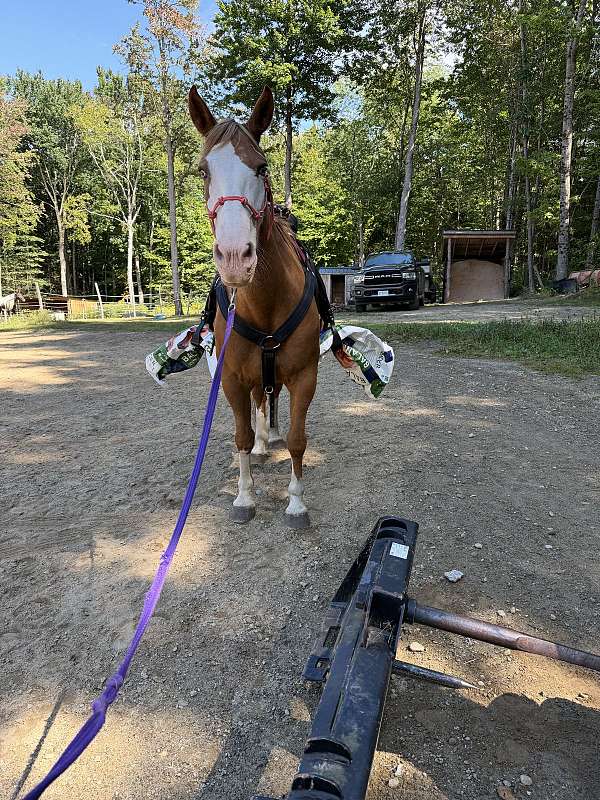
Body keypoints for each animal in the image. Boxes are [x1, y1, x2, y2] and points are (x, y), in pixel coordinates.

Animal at [188, 85, 320, 529]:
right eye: (203, 171)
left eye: (261, 168)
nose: (234, 257)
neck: (264, 301)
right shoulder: (230, 378)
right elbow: (242, 436)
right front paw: (245, 496)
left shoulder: (304, 376)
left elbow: (298, 438)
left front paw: (296, 502)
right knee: (260, 406)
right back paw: (264, 445)